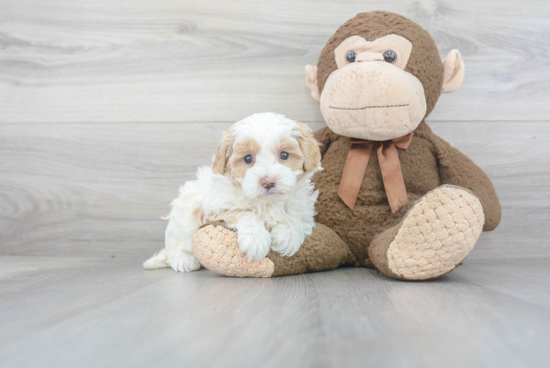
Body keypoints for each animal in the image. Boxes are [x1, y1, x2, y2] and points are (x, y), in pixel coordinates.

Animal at [142, 113, 324, 272]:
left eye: (284, 155)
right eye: (248, 159)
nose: (268, 182)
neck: (266, 203)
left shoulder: (302, 207)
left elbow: (294, 217)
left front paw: (288, 237)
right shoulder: (216, 207)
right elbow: (244, 212)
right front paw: (255, 239)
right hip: (183, 220)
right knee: (176, 248)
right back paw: (184, 260)